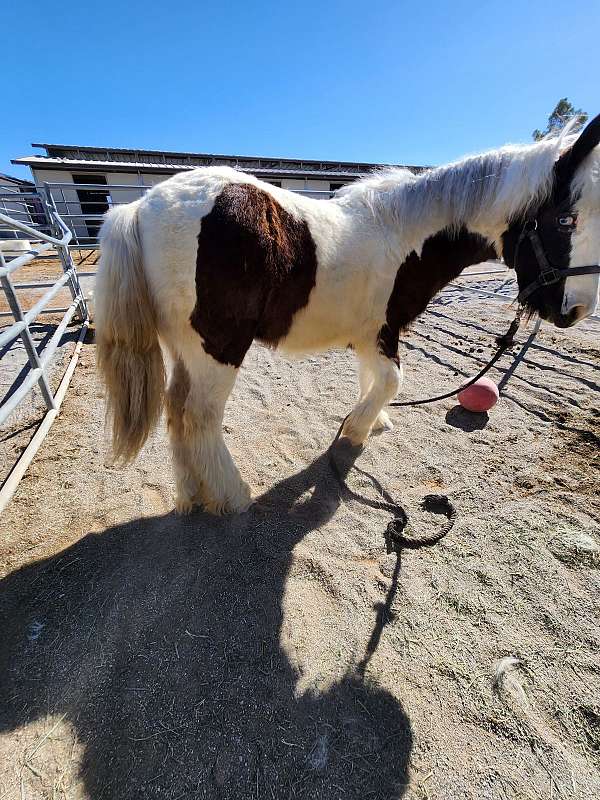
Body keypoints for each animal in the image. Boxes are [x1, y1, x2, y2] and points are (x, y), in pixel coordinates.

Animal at [95, 114, 600, 512]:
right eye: (565, 220)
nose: (576, 310)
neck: (406, 233)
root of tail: (140, 207)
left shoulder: (368, 333)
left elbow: (371, 378)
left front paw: (373, 422)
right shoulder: (384, 330)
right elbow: (393, 380)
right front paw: (356, 430)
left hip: (185, 349)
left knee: (175, 411)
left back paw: (190, 495)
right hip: (218, 348)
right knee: (199, 416)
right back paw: (231, 497)